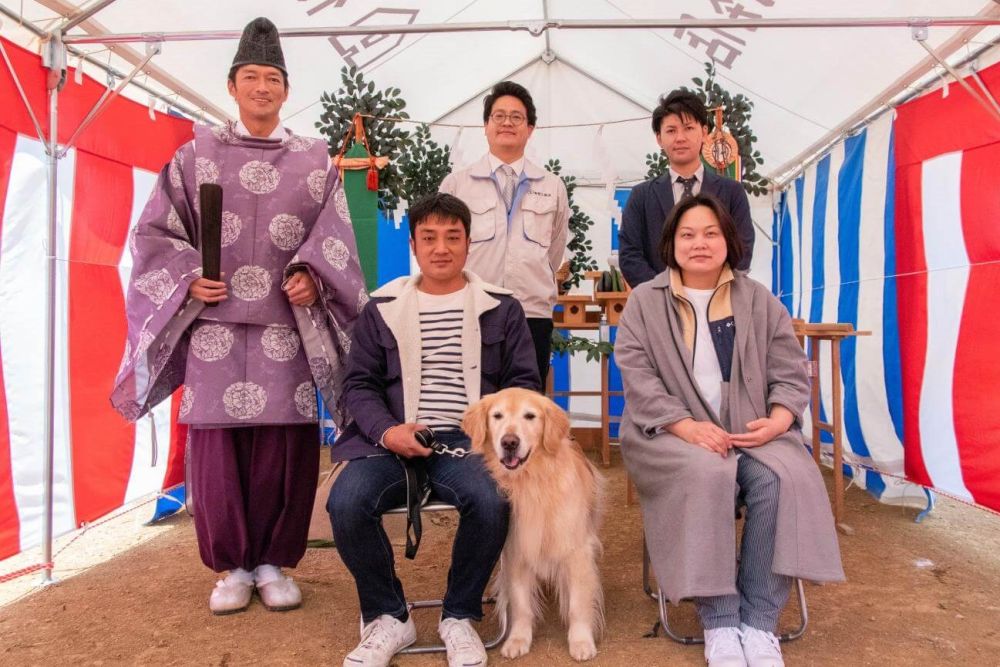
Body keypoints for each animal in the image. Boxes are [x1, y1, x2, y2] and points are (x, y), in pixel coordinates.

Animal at [460, 388, 600, 660]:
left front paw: (581, 641)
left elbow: (578, 602)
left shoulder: (576, 550)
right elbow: (520, 602)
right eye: (497, 415)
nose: (509, 442)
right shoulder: (515, 550)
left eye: (530, 416)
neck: (532, 481)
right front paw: (518, 639)